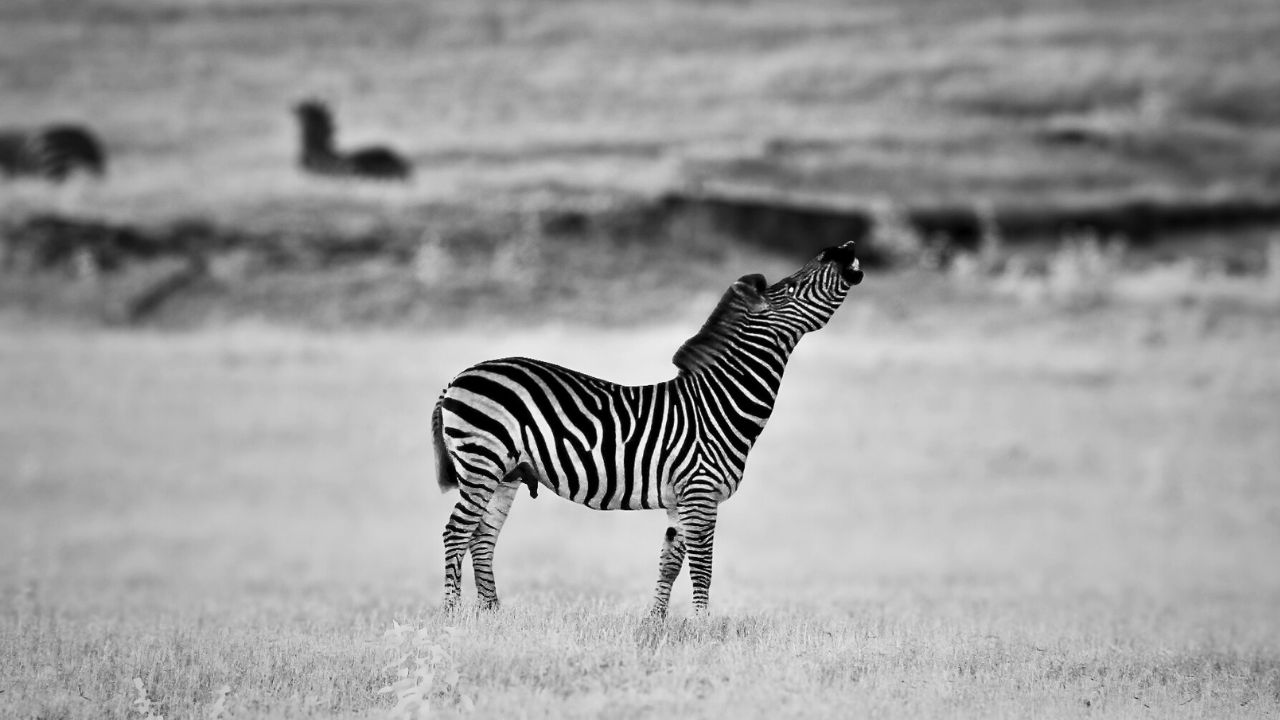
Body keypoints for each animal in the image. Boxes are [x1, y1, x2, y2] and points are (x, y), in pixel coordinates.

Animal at [432, 241, 864, 616]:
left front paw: (655, 624)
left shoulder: (681, 500)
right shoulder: (700, 494)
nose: (843, 248)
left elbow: (670, 563)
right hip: (482, 460)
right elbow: (703, 566)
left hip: (507, 472)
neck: (721, 402)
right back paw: (453, 616)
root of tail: (459, 376)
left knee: (482, 536)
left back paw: (491, 614)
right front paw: (701, 627)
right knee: (456, 531)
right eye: (791, 287)